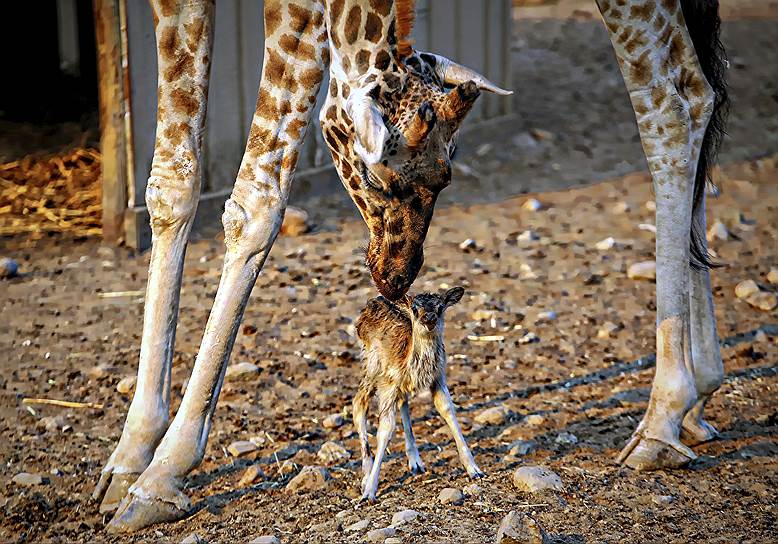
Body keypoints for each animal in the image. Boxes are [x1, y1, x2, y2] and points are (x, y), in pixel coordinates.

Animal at [354, 286, 482, 500]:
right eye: (414, 308)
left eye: (440, 307)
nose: (429, 318)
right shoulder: (388, 383)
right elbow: (385, 429)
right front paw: (369, 492)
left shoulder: (439, 377)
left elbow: (448, 410)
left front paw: (474, 469)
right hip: (371, 368)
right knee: (358, 404)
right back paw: (365, 475)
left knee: (402, 402)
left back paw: (415, 462)